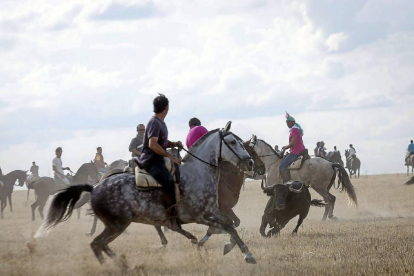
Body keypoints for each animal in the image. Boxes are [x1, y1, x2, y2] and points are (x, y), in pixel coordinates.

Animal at [38, 122, 258, 270]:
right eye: (232, 142)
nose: (250, 163)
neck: (199, 173)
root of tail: (94, 187)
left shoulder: (213, 212)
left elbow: (229, 225)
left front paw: (234, 249)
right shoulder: (201, 215)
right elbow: (228, 225)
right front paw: (247, 254)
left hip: (115, 225)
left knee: (99, 244)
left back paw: (121, 266)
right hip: (118, 224)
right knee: (98, 243)